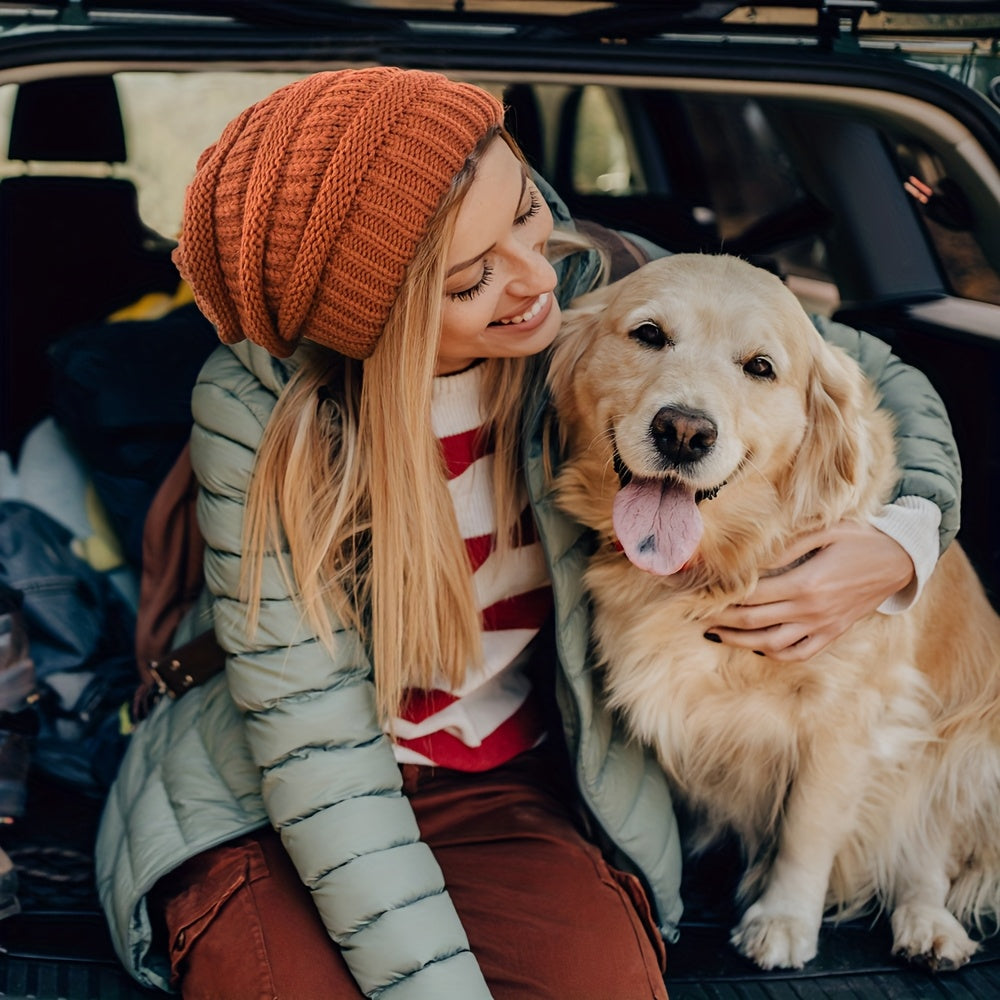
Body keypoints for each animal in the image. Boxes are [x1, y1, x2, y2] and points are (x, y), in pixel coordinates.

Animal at [548, 254, 1000, 972]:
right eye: (648, 334)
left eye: (760, 367)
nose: (684, 431)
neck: (721, 565)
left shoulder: (850, 716)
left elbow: (808, 830)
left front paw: (784, 919)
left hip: (960, 748)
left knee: (926, 849)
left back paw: (929, 926)